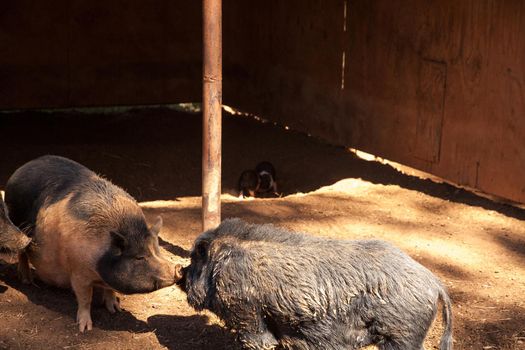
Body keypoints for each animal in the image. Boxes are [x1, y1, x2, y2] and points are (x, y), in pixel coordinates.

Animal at [4, 156, 182, 330]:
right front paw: (85, 328)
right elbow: (85, 299)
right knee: (22, 252)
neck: (100, 258)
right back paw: (27, 280)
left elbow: (109, 290)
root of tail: (23, 167)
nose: (178, 267)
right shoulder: (78, 272)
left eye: (158, 250)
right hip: (17, 222)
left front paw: (115, 309)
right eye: (139, 257)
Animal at [178, 219, 452, 350]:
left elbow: (257, 340)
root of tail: (435, 283)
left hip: (402, 334)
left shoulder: (244, 310)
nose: (180, 274)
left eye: (194, 259)